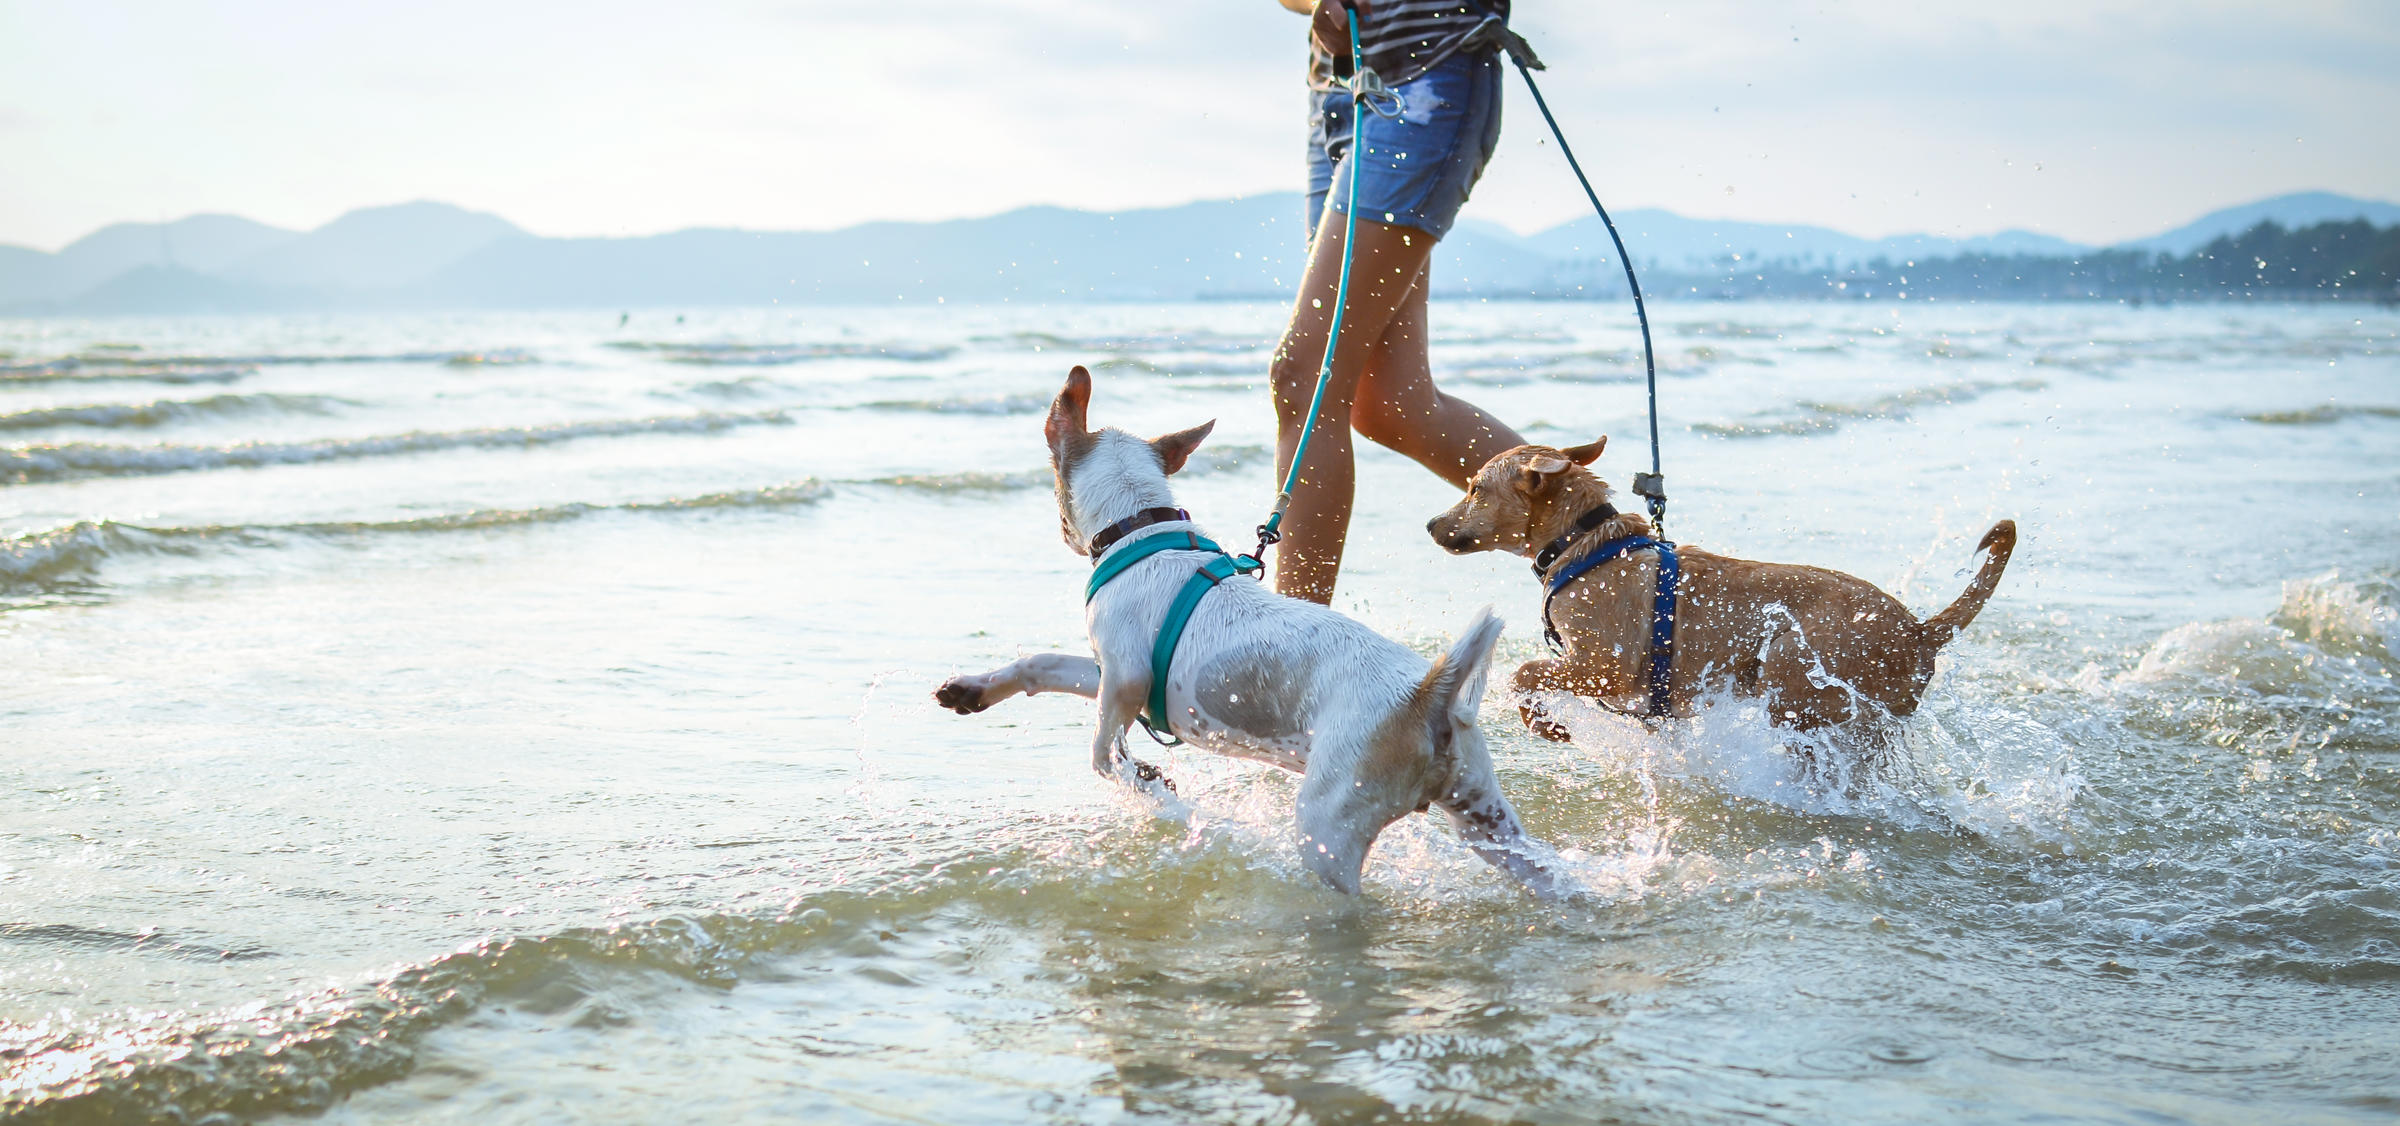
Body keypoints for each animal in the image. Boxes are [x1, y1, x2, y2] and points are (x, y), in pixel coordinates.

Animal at [926, 369, 1564, 893]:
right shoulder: (1112, 671)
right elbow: (1042, 665)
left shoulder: (1126, 678)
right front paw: (973, 690)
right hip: (1488, 823)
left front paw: (1152, 786)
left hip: (1330, 826)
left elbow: (1104, 754)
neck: (1140, 529)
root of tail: (1429, 694)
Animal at [1430, 436, 2016, 739]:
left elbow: (1526, 672)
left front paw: (1543, 723)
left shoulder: (1604, 666)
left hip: (1791, 662)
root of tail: (1921, 631)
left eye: (1476, 489)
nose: (1432, 524)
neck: (1584, 543)